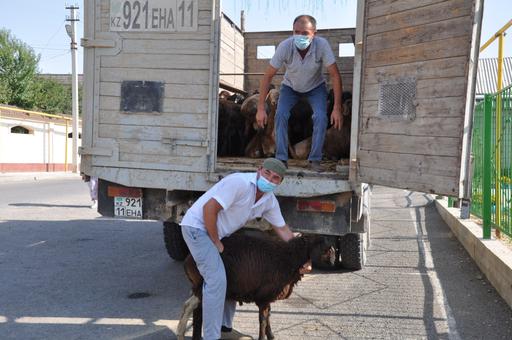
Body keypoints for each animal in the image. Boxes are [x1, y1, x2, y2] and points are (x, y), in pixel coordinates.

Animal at [178, 232, 326, 338]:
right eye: (318, 243)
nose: (329, 253)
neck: (288, 258)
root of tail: (188, 260)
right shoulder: (263, 297)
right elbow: (263, 320)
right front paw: (264, 337)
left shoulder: (266, 298)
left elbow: (268, 318)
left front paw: (271, 336)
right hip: (207, 287)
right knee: (196, 311)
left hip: (200, 288)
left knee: (190, 306)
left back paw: (182, 332)